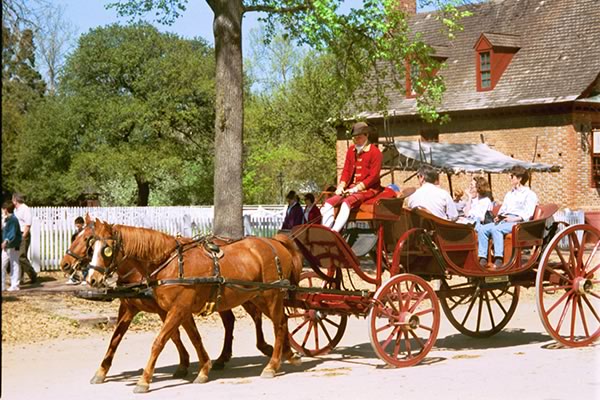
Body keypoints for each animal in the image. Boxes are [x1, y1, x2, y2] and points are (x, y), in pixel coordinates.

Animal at [84, 217, 302, 392]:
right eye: (91, 247)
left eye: (106, 250)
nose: (91, 278)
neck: (169, 263)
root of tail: (275, 242)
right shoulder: (179, 310)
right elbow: (193, 337)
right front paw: (204, 368)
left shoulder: (177, 309)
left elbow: (159, 342)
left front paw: (144, 380)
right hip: (255, 296)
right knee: (280, 320)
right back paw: (288, 354)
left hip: (270, 295)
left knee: (279, 325)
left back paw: (272, 365)